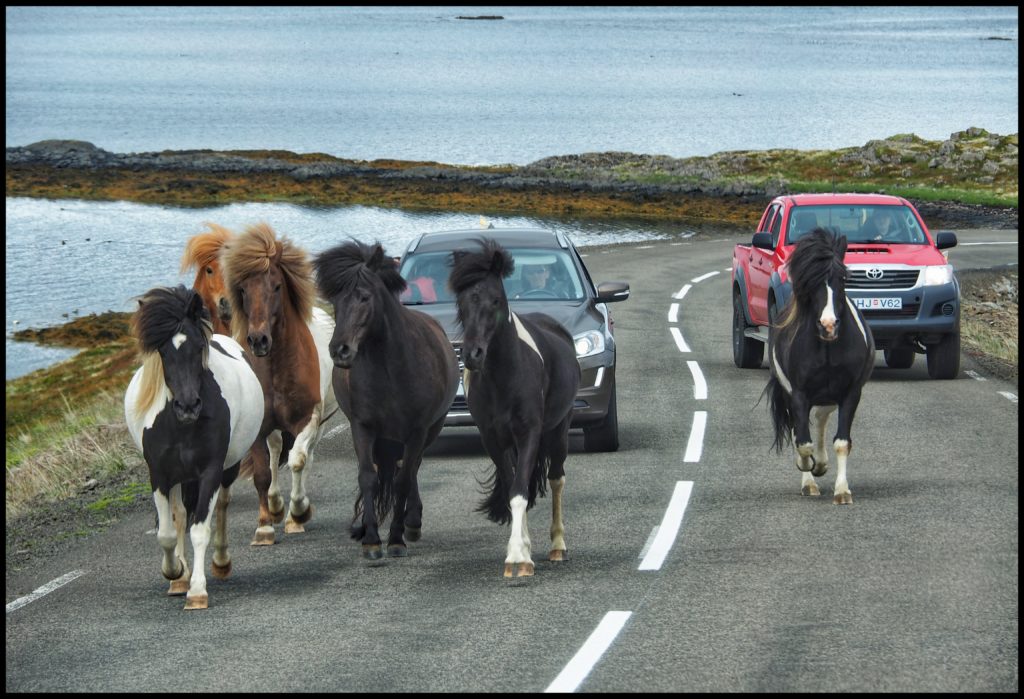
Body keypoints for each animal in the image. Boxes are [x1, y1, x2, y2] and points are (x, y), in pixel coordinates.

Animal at [123, 286, 264, 609]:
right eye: (163, 351)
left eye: (199, 346)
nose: (188, 406)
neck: (182, 428)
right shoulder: (160, 475)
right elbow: (166, 532)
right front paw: (175, 571)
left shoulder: (210, 471)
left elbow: (200, 530)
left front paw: (197, 591)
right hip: (179, 478)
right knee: (179, 515)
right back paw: (180, 578)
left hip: (227, 468)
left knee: (221, 506)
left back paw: (221, 563)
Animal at [309, 239, 458, 556]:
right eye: (335, 302)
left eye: (364, 298)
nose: (339, 350)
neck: (390, 369)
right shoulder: (362, 427)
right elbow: (368, 477)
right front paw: (371, 539)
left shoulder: (416, 430)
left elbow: (402, 480)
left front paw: (396, 538)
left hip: (431, 428)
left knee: (411, 469)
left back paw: (412, 522)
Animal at [450, 237, 581, 577]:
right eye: (463, 301)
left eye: (495, 300)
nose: (472, 355)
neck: (504, 376)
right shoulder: (494, 440)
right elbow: (513, 489)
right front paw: (520, 551)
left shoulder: (529, 433)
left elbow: (521, 491)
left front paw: (518, 558)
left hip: (558, 431)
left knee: (557, 479)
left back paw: (557, 546)